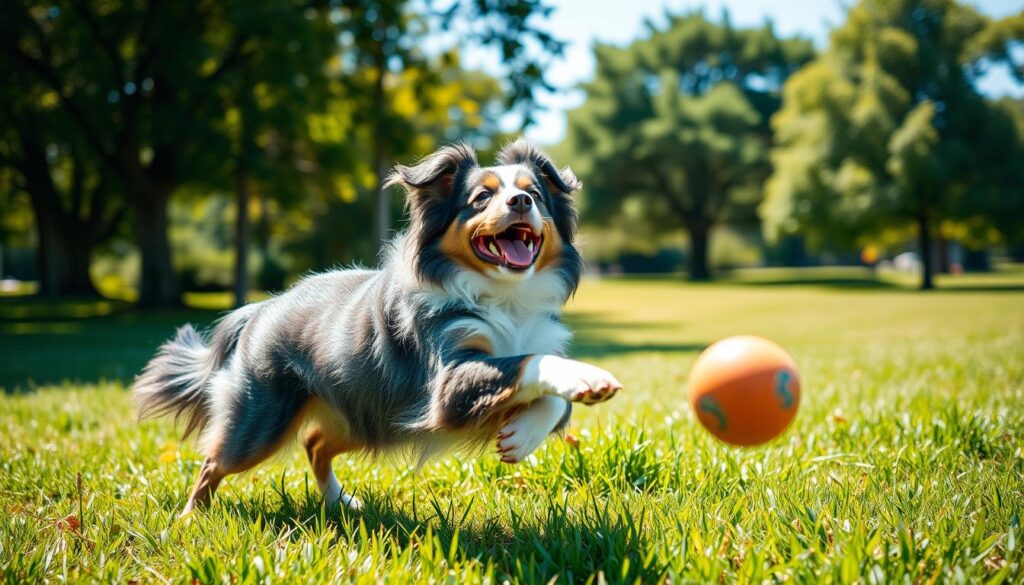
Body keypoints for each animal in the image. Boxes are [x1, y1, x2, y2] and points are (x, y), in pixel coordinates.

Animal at [136, 139, 622, 514]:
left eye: (535, 194)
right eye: (481, 198)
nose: (520, 202)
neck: (506, 294)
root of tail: (262, 306)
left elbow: (549, 392)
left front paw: (520, 437)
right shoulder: (447, 379)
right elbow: (527, 362)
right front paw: (588, 377)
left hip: (367, 415)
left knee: (314, 442)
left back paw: (340, 503)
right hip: (262, 418)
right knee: (215, 460)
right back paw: (190, 517)